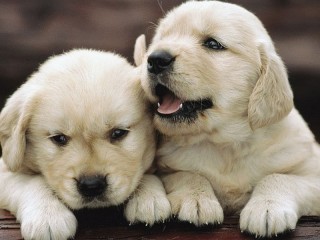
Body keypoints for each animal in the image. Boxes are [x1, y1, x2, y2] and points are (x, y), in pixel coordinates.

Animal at [0, 49, 170, 240]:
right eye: (59, 138)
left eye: (118, 133)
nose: (92, 186)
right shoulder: (5, 169)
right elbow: (30, 181)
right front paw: (48, 215)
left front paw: (149, 198)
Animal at [134, 0, 320, 238]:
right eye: (160, 40)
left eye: (213, 44)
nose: (156, 59)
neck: (225, 144)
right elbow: (185, 174)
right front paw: (196, 199)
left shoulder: (311, 171)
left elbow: (281, 178)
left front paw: (267, 208)